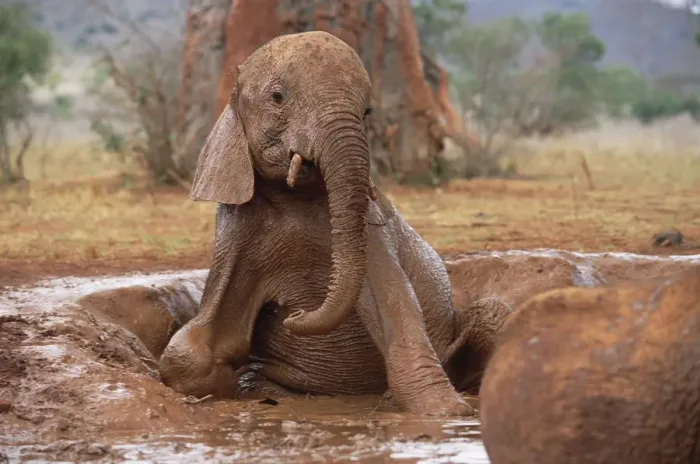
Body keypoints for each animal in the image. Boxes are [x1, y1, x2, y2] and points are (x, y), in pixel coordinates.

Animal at [157, 31, 509, 416]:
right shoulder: (237, 235)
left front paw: (447, 412)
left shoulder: (370, 228)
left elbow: (393, 305)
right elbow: (192, 352)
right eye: (277, 97)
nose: (294, 315)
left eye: (367, 111)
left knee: (494, 313)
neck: (292, 196)